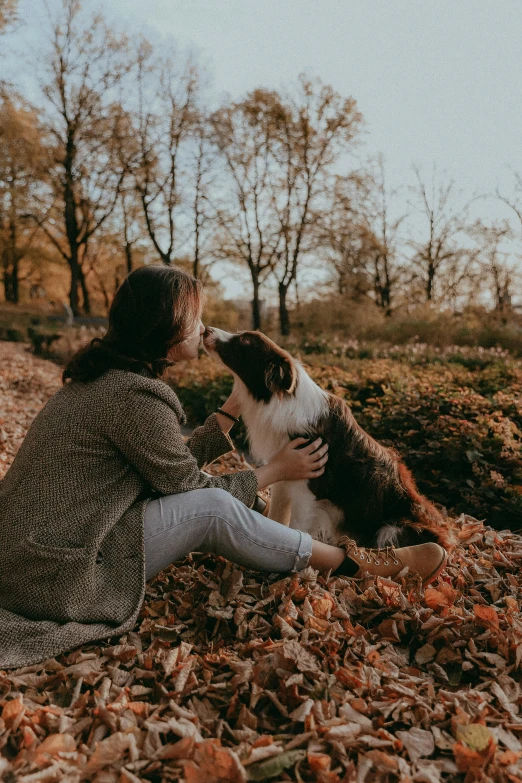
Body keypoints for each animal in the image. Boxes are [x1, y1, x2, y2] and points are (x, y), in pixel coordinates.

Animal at [201, 326, 452, 552]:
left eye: (244, 341)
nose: (205, 330)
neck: (281, 401)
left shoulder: (307, 492)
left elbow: (295, 528)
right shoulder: (284, 478)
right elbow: (276, 521)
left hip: (392, 529)